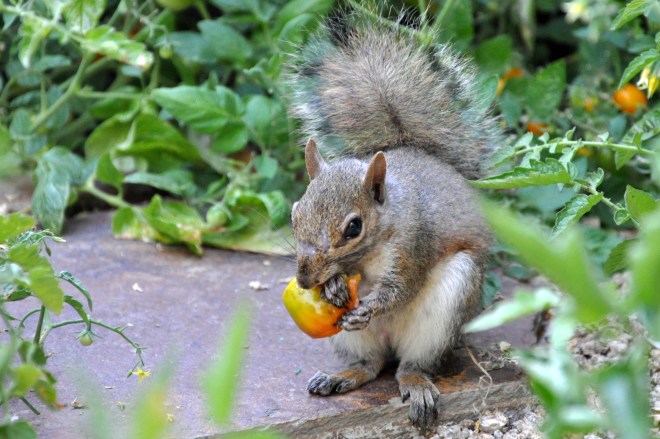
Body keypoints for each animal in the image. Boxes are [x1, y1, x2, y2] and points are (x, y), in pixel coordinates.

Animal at [287, 12, 500, 430]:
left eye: (353, 227)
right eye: (295, 214)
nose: (304, 280)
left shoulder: (414, 244)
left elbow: (401, 289)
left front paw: (369, 306)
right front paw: (334, 287)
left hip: (445, 310)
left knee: (411, 365)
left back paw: (415, 384)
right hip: (351, 340)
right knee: (371, 365)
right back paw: (342, 376)